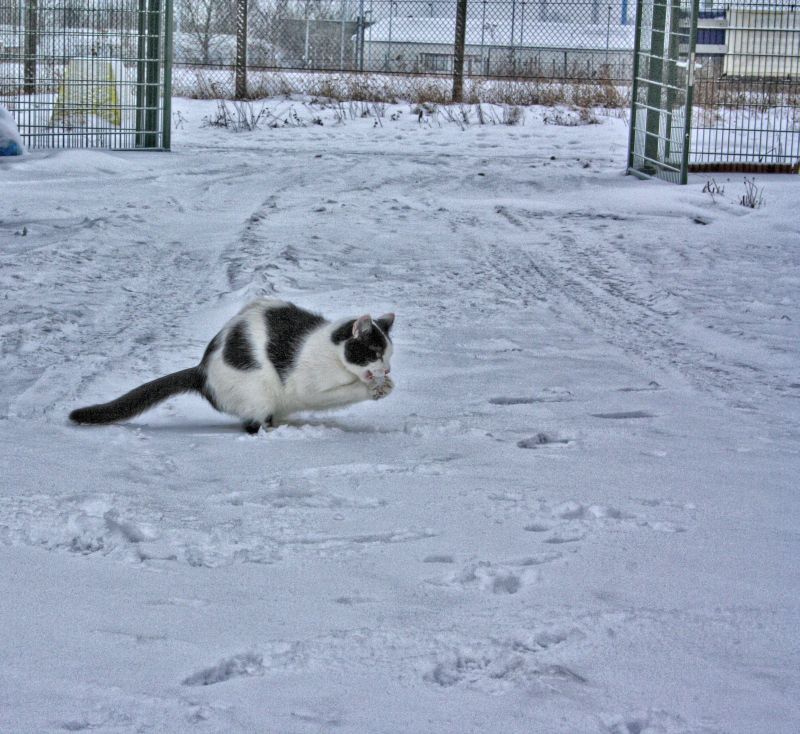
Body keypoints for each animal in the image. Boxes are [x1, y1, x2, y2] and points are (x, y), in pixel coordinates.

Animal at [70, 300, 396, 434]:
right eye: (375, 353)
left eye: (389, 355)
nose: (388, 370)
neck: (333, 355)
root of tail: (201, 370)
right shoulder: (307, 387)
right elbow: (340, 393)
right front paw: (372, 389)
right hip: (256, 391)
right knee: (252, 425)